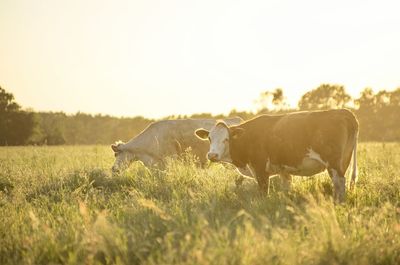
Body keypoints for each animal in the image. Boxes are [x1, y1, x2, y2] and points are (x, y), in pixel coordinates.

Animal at [195, 108, 360, 201]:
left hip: (334, 164)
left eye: (226, 139)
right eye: (209, 138)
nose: (212, 155)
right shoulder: (283, 170)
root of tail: (344, 112)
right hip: (343, 162)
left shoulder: (260, 169)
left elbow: (263, 191)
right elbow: (287, 188)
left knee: (339, 183)